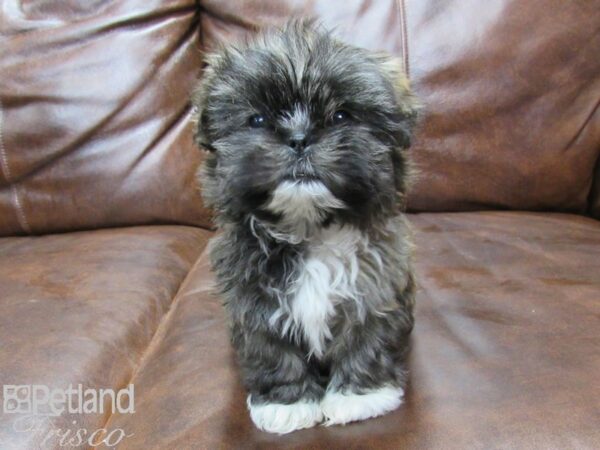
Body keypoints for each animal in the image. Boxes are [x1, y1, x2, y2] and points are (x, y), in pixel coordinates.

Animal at [195, 20, 420, 432]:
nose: (299, 139)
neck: (311, 230)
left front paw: (360, 396)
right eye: (257, 120)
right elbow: (273, 350)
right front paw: (287, 402)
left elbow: (366, 339)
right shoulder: (253, 302)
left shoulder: (376, 288)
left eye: (342, 116)